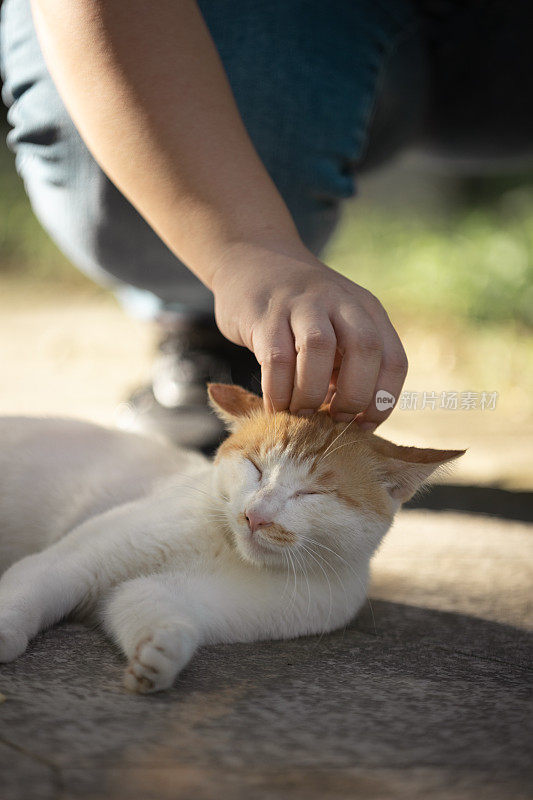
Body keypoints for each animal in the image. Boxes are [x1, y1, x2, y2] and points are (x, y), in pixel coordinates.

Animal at [0, 384, 464, 692]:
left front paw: (159, 654)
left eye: (311, 493)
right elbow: (30, 591)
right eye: (255, 468)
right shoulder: (74, 560)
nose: (255, 516)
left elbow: (149, 605)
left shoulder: (186, 597)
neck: (224, 548)